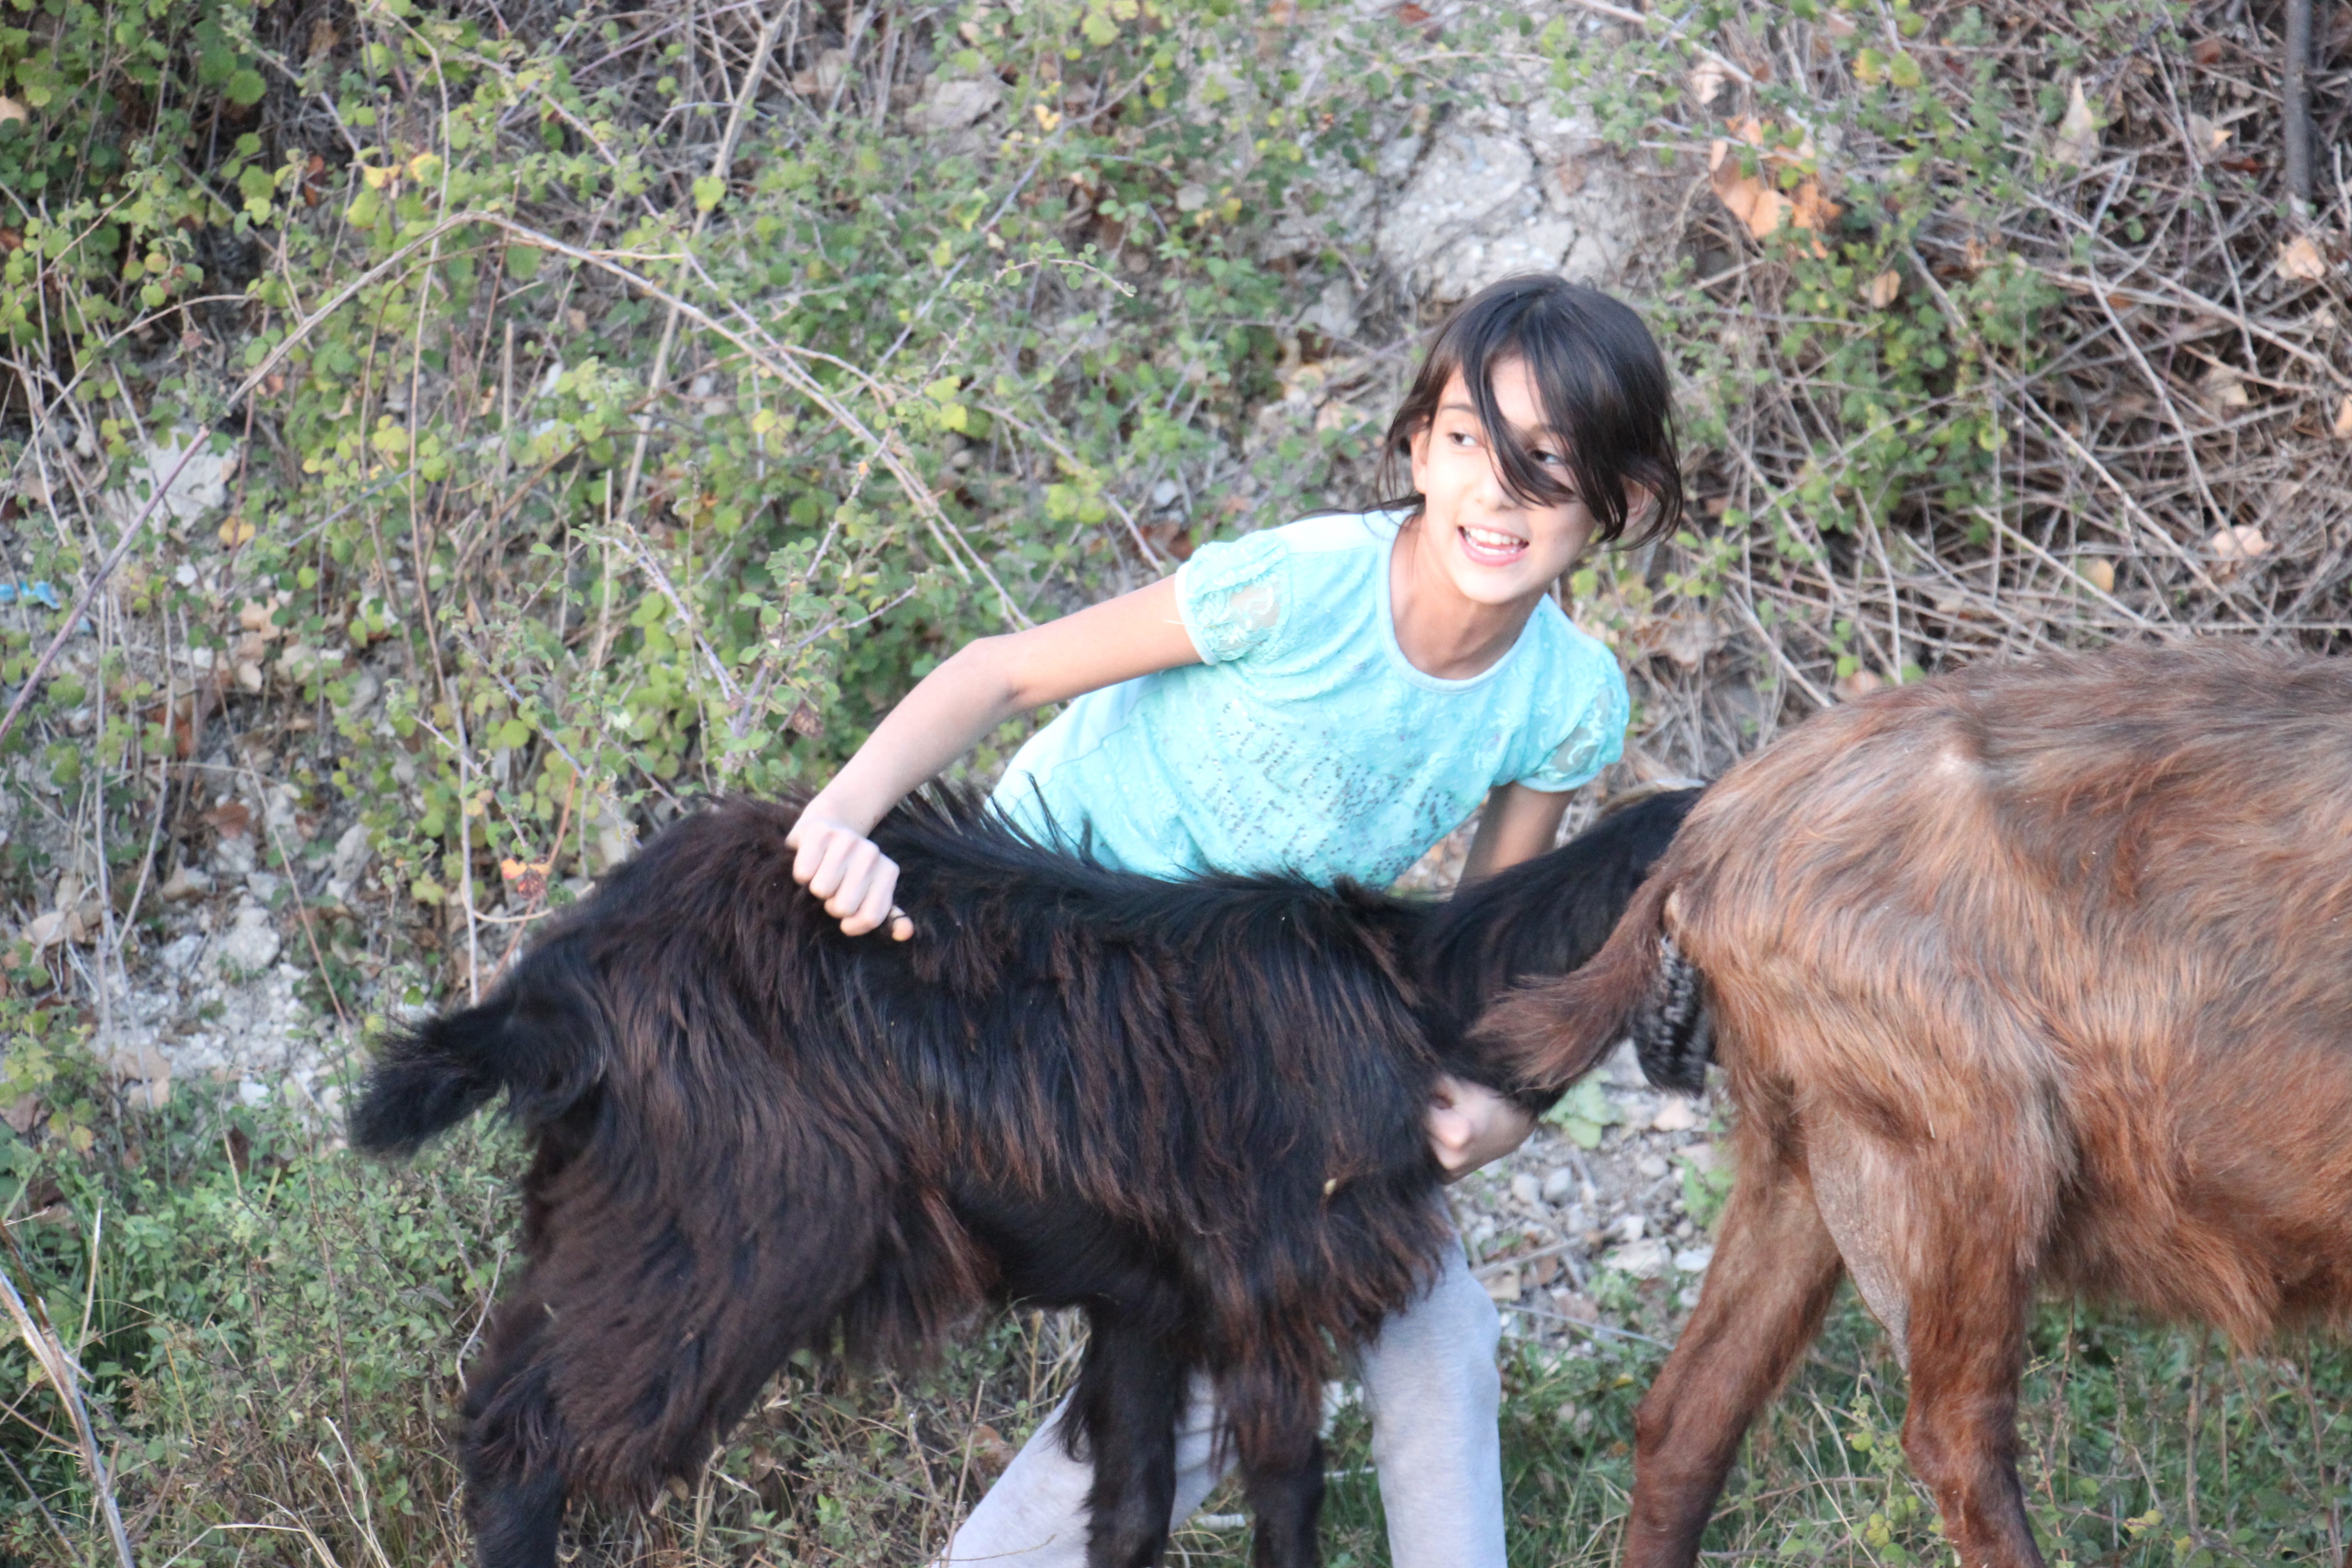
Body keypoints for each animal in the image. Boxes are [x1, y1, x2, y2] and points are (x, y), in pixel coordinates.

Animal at [353, 785, 1693, 1568]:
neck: (1414, 987)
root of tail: (558, 985)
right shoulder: (1270, 1291)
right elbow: (1286, 1494)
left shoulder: (1153, 1307)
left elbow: (1131, 1509)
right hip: (738, 1234)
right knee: (531, 1435)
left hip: (611, 1216)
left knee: (507, 1391)